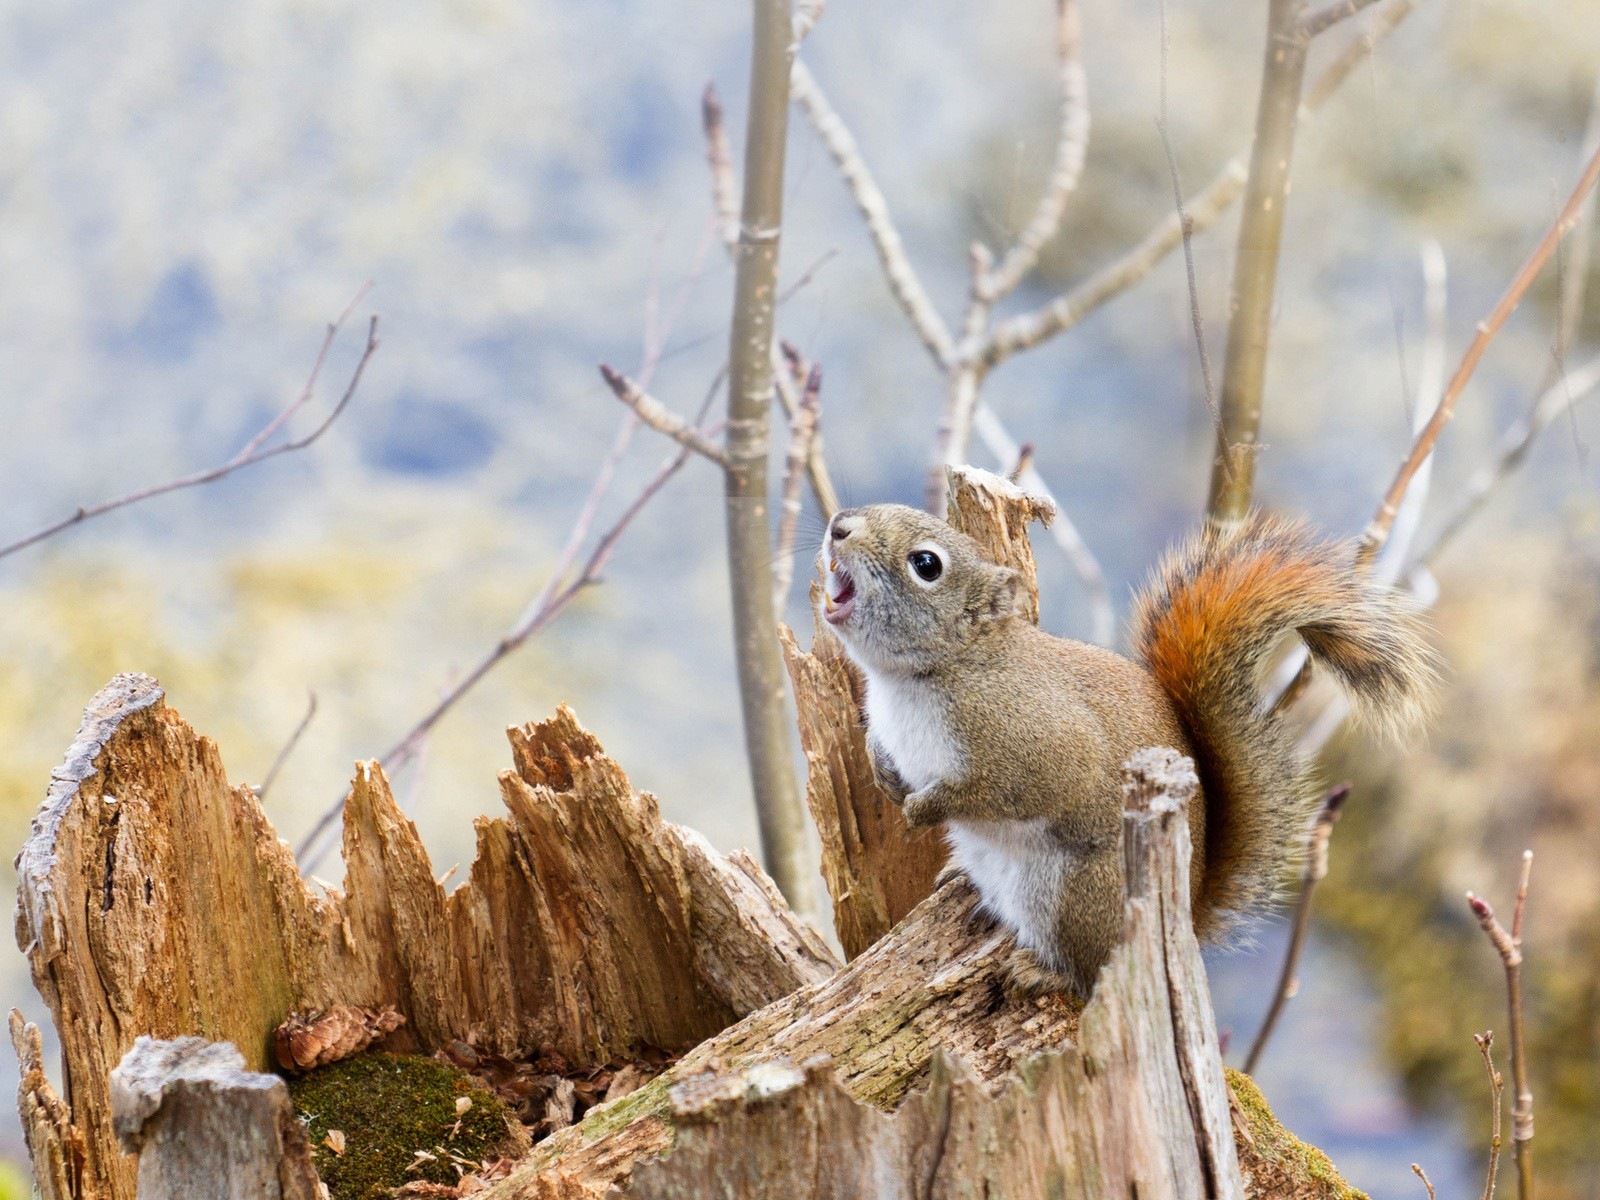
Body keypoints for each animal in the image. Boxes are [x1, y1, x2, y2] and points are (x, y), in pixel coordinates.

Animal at [812, 499, 1440, 998]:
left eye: (926, 565)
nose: (839, 526)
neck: (918, 678)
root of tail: (1183, 918)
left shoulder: (1034, 740)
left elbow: (1006, 789)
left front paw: (927, 807)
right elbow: (883, 750)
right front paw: (885, 772)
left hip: (1077, 896)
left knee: (1092, 972)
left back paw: (1044, 973)